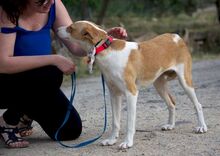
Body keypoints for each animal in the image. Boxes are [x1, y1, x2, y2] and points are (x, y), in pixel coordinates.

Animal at [56, 21, 206, 149]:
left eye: (70, 27)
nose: (56, 29)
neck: (106, 49)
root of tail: (176, 36)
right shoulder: (114, 95)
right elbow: (115, 122)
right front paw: (112, 140)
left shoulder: (131, 93)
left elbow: (129, 123)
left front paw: (127, 143)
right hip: (159, 85)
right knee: (172, 103)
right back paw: (170, 125)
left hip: (185, 82)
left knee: (197, 105)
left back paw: (202, 127)